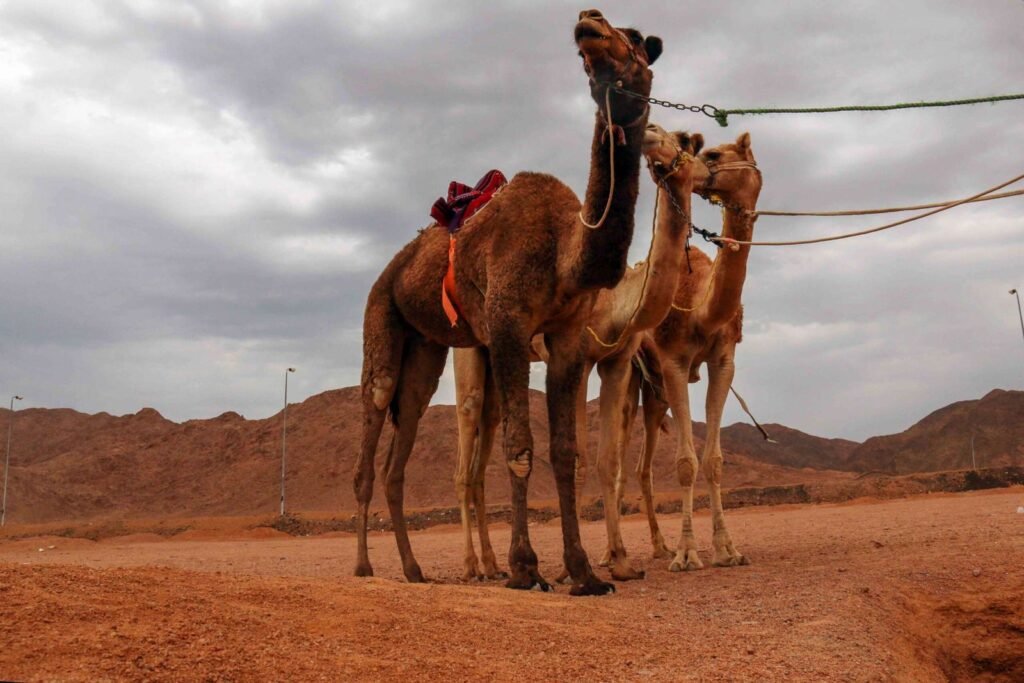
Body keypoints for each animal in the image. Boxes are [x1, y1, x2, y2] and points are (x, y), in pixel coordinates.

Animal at [353, 9, 663, 596]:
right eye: (587, 46)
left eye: (634, 38)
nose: (589, 21)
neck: (565, 251)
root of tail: (389, 271)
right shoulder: (508, 325)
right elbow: (520, 448)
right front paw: (525, 568)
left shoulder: (567, 337)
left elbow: (563, 453)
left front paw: (585, 572)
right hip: (380, 318)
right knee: (373, 427)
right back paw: (363, 567)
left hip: (425, 351)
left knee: (397, 453)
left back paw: (413, 569)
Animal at [452, 124, 706, 582]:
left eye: (683, 141)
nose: (650, 133)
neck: (620, 301)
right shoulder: (583, 357)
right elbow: (582, 460)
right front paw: (580, 566)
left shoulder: (617, 362)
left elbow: (608, 462)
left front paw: (620, 560)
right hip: (467, 348)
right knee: (465, 447)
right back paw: (470, 567)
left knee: (482, 456)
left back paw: (493, 564)